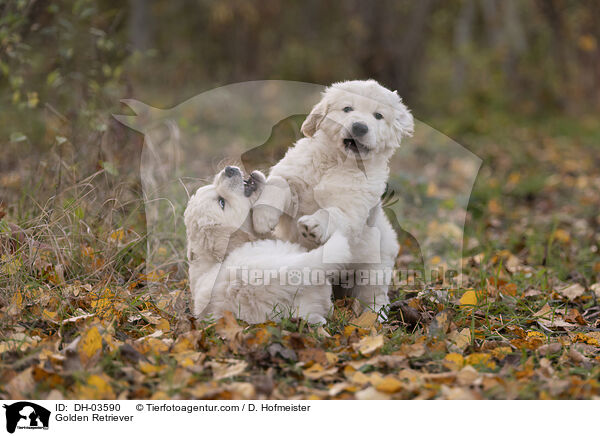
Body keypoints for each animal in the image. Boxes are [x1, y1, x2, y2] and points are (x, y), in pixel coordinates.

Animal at [252, 80, 412, 316]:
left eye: (378, 116)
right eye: (347, 108)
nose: (359, 127)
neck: (337, 162)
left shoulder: (352, 209)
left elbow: (332, 213)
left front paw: (313, 225)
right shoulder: (292, 178)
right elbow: (278, 184)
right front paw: (263, 216)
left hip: (377, 265)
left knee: (373, 293)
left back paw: (374, 315)